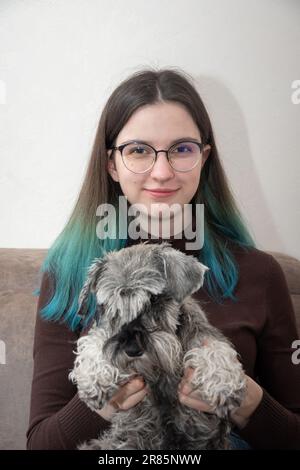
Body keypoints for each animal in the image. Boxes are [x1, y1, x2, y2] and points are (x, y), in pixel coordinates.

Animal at [69, 241, 246, 450]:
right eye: (110, 304)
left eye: (153, 299)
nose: (132, 349)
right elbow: (96, 337)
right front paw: (93, 378)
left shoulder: (204, 334)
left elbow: (214, 347)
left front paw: (223, 384)